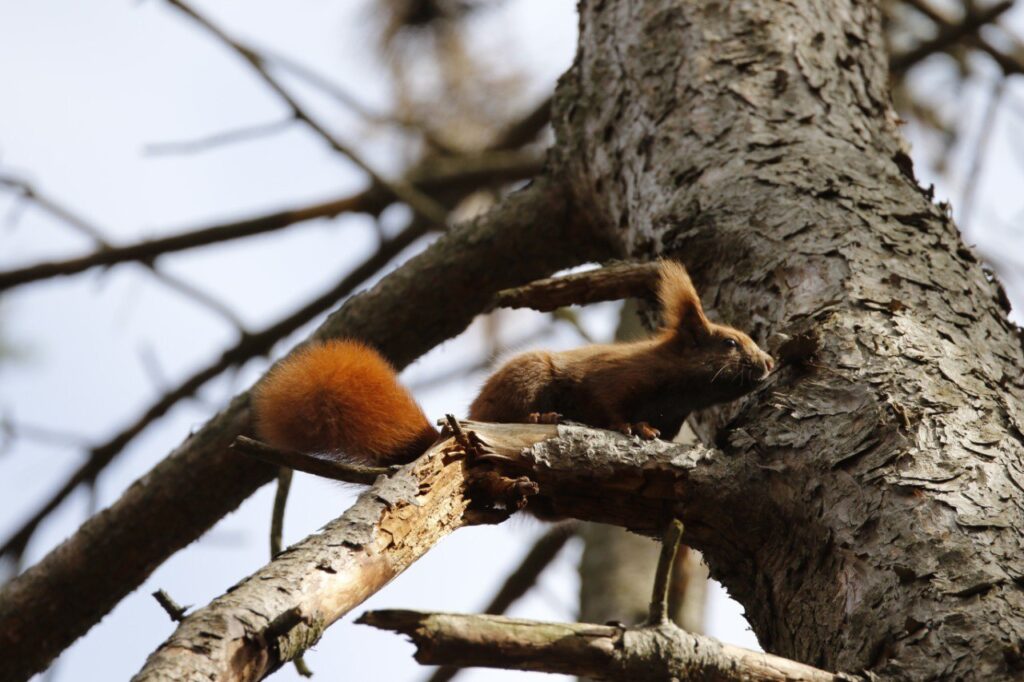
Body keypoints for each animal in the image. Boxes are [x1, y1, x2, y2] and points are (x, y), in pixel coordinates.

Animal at [252, 260, 773, 465]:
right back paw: (541, 416)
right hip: (529, 378)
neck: (678, 390)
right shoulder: (614, 379)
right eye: (729, 343)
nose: (769, 364)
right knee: (512, 413)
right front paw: (634, 429)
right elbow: (610, 407)